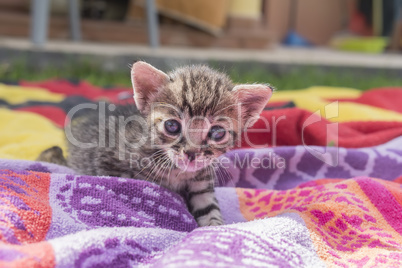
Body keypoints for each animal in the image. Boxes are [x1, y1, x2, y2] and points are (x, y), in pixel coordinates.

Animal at [38, 62, 274, 226]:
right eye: (172, 126)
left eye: (217, 132)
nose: (191, 153)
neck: (178, 171)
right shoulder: (108, 159)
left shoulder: (202, 182)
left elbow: (210, 210)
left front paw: (214, 229)